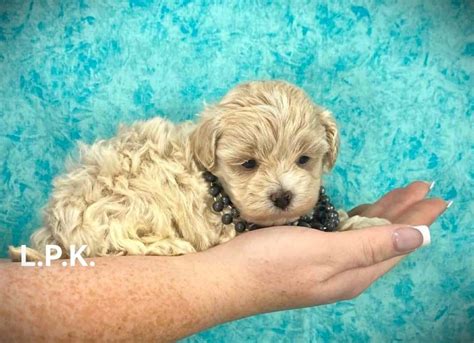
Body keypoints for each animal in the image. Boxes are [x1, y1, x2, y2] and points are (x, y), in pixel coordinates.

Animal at [9, 81, 388, 264]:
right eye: (248, 164)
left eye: (304, 159)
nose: (282, 196)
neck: (213, 179)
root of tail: (53, 229)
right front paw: (364, 223)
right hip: (129, 203)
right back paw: (168, 246)